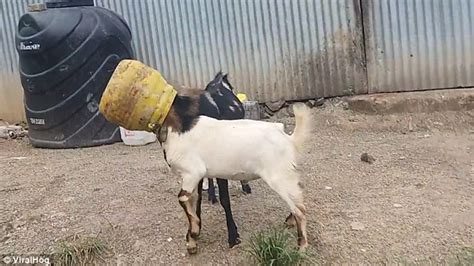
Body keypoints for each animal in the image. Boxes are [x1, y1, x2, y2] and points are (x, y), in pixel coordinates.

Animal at [161, 100, 312, 254]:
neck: (179, 128)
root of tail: (289, 139)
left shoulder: (192, 172)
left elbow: (183, 198)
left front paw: (194, 234)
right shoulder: (196, 177)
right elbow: (194, 200)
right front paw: (192, 238)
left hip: (278, 176)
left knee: (300, 209)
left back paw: (301, 246)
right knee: (297, 196)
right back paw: (290, 222)